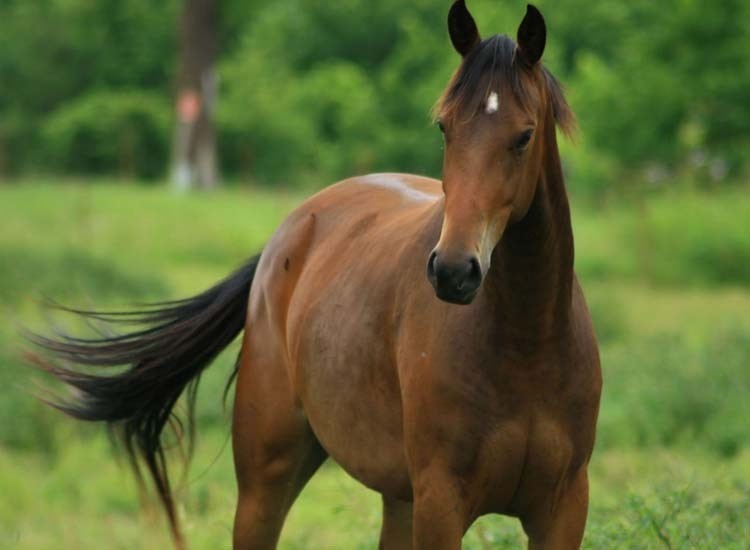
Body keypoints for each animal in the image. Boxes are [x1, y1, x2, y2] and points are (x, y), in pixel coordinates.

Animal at [30, 2, 604, 548]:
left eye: (524, 136)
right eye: (445, 126)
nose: (453, 271)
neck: (526, 346)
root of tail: (290, 231)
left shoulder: (561, 512)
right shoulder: (442, 504)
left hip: (398, 497)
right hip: (268, 479)